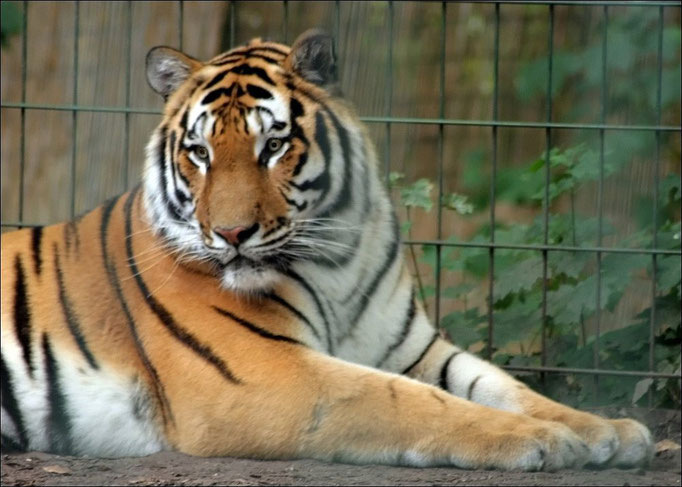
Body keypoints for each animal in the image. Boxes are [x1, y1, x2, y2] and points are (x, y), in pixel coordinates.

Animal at [1, 28, 652, 470]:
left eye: (272, 146)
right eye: (200, 153)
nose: (232, 235)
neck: (339, 258)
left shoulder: (413, 347)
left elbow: (501, 384)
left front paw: (607, 430)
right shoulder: (261, 375)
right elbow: (404, 400)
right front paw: (541, 440)